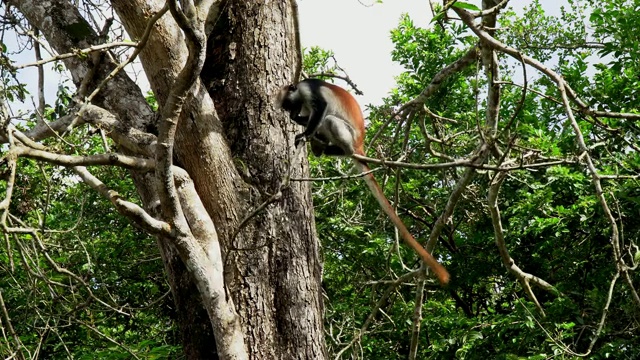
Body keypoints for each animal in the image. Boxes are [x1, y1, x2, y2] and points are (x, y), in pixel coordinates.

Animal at [276, 77, 450, 286]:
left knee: (329, 119)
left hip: (347, 134)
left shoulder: (307, 89)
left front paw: (304, 133)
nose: (290, 112)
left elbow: (322, 107)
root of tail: (360, 144)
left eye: (289, 104)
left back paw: (336, 148)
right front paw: (301, 127)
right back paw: (321, 147)